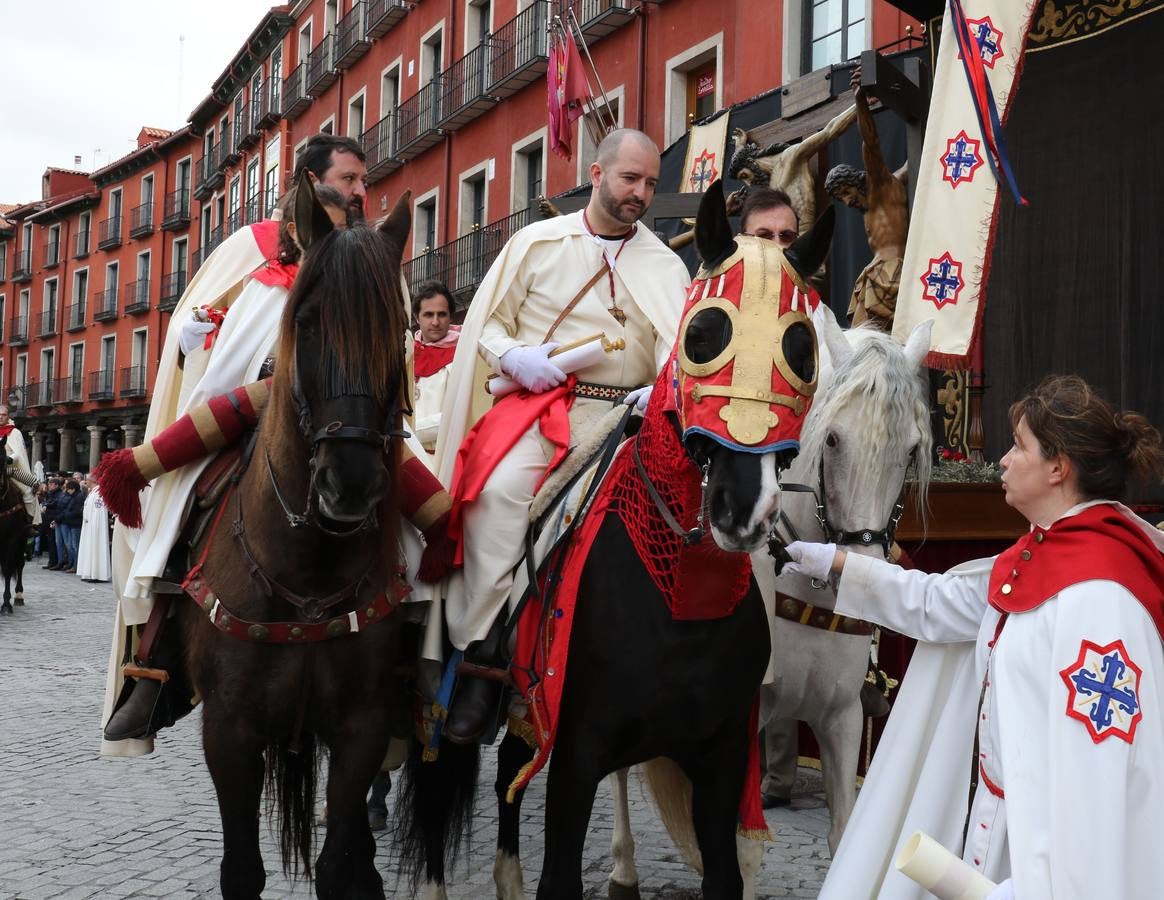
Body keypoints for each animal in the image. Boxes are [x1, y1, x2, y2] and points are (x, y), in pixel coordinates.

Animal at [179, 179, 416, 894]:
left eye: (396, 329)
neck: (309, 566)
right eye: (306, 322)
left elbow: (338, 863)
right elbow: (241, 871)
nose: (352, 481)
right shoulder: (229, 734)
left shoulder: (362, 728)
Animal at [600, 305, 935, 894]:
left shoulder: (842, 716)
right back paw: (623, 868)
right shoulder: (742, 729)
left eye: (911, 448)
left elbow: (841, 834)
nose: (863, 566)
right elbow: (743, 853)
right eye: (832, 440)